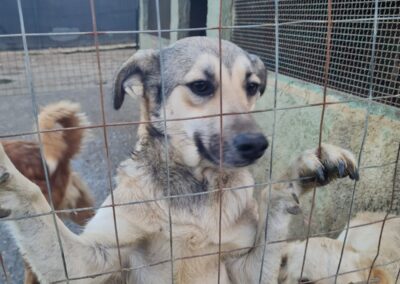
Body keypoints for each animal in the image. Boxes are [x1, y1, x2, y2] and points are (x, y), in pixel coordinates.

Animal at [0, 36, 360, 282]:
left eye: (252, 86)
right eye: (200, 85)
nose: (257, 145)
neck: (196, 190)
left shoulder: (244, 267)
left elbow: (271, 222)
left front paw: (297, 175)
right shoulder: (89, 263)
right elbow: (39, 210)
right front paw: (10, 177)